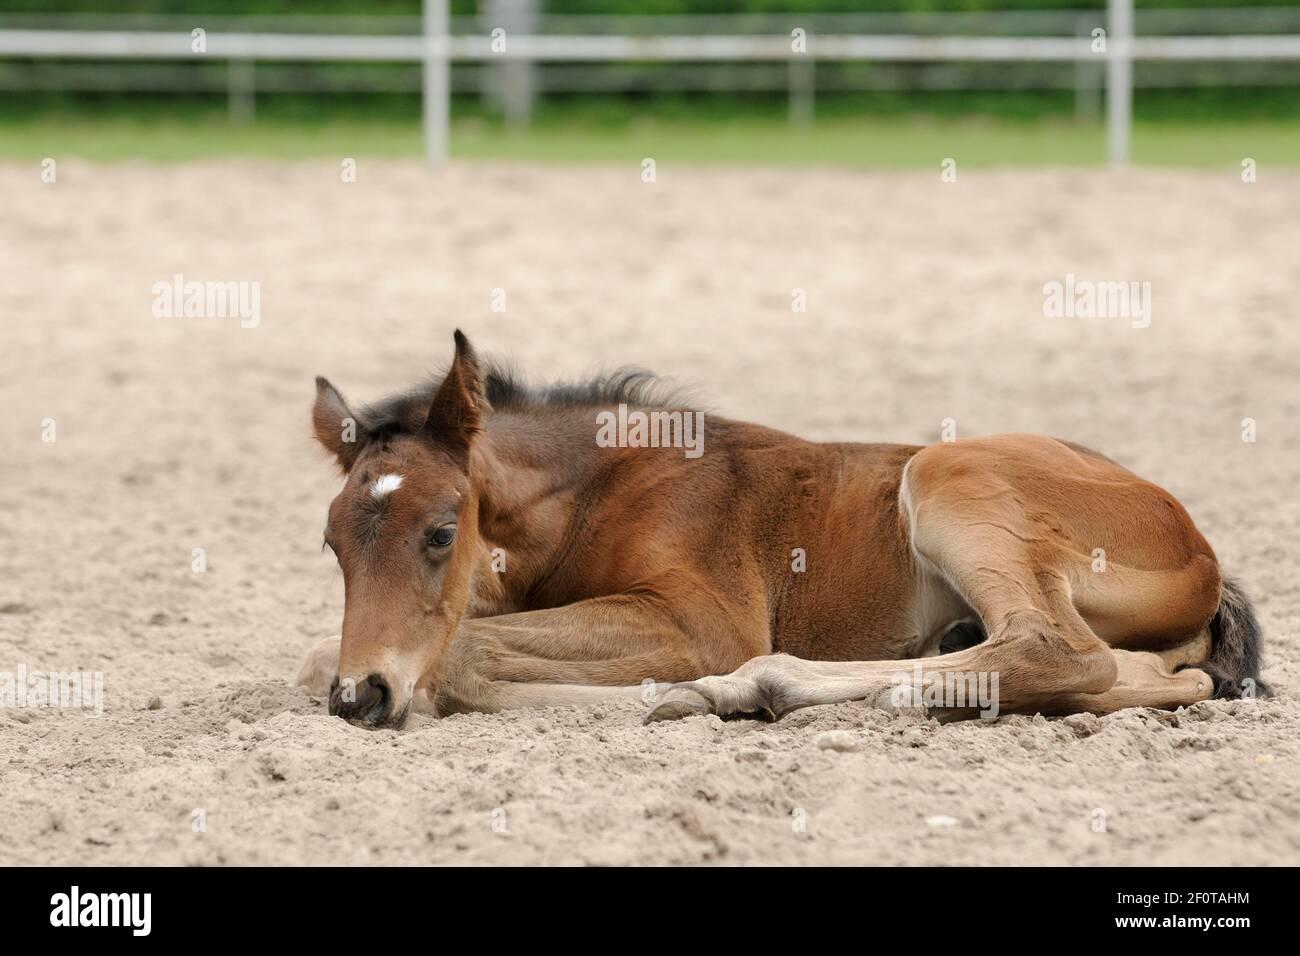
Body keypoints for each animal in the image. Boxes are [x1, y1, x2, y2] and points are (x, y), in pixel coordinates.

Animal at [299, 332, 1263, 728]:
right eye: (334, 545)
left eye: (438, 532)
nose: (364, 699)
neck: (594, 492)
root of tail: (1201, 552)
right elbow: (323, 655)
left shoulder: (701, 620)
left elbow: (460, 658)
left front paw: (692, 694)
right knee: (1162, 678)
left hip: (946, 475)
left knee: (1062, 650)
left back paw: (781, 687)